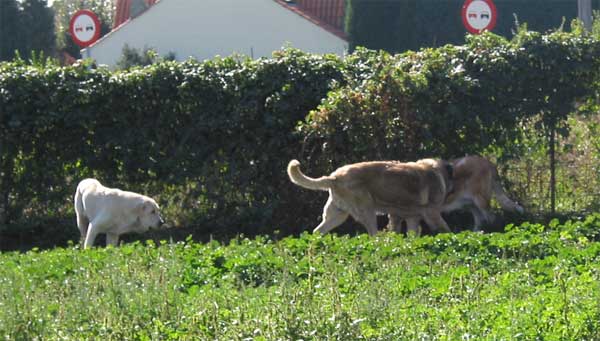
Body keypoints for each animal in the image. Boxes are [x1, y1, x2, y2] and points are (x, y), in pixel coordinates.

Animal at [288, 158, 452, 235]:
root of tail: (334, 177)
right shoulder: (432, 214)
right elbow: (446, 230)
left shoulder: (411, 218)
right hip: (367, 211)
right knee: (374, 236)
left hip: (337, 215)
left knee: (317, 232)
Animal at [386, 155, 524, 232]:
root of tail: (488, 162)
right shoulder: (399, 216)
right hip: (470, 205)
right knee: (480, 220)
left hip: (481, 201)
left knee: (492, 218)